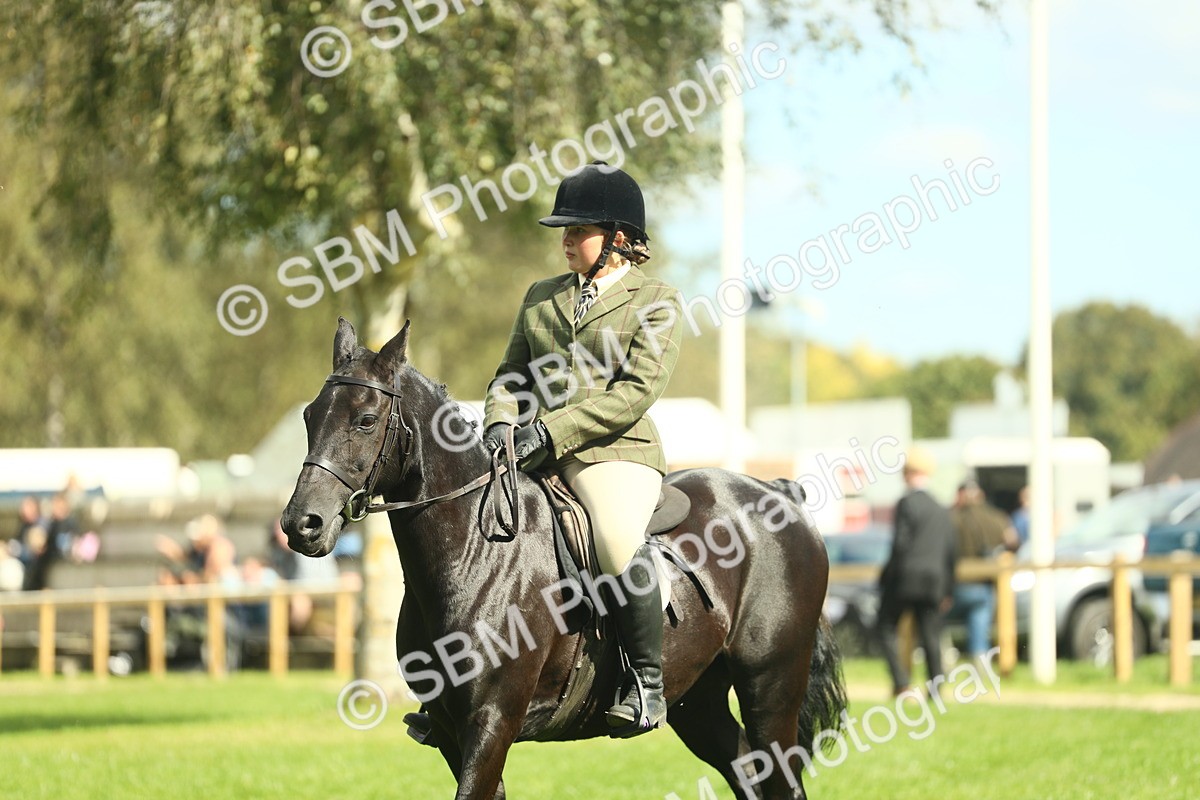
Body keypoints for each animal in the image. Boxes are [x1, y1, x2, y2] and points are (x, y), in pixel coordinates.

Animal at [281, 318, 847, 800]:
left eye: (366, 420)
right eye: (309, 416)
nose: (301, 524)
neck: (473, 552)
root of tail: (777, 493)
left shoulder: (492, 720)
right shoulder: (449, 730)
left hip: (770, 686)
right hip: (699, 700)